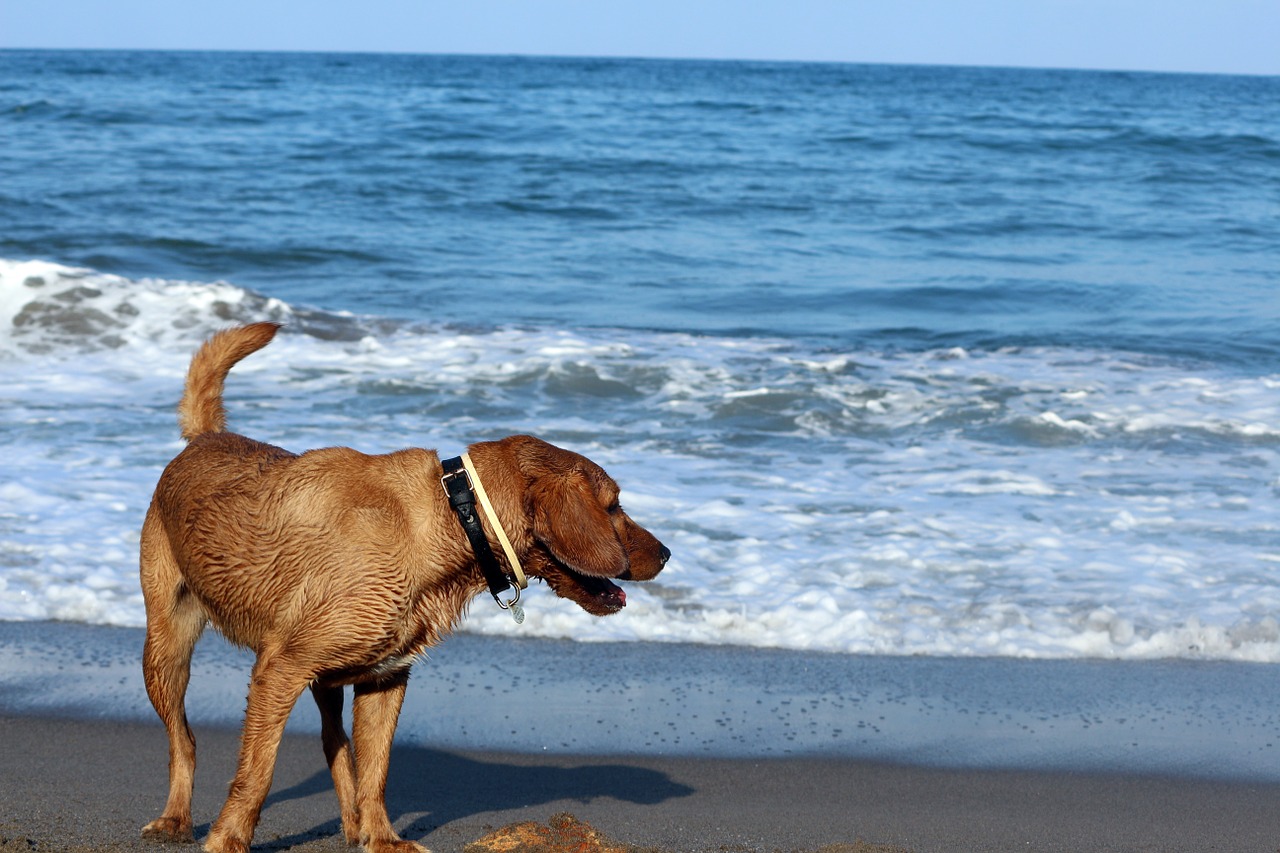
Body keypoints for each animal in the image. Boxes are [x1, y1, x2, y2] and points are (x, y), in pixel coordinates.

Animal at [140, 320, 670, 850]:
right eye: (613, 506)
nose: (666, 553)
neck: (454, 514)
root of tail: (204, 439)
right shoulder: (279, 670)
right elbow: (257, 771)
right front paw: (229, 837)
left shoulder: (384, 678)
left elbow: (375, 770)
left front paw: (380, 836)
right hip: (166, 652)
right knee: (184, 739)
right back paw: (175, 819)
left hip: (326, 679)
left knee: (334, 743)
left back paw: (352, 824)